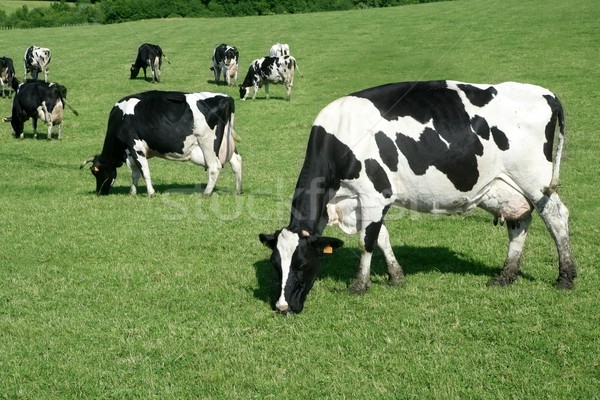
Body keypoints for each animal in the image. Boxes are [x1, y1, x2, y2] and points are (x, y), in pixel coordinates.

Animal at [81, 90, 243, 197]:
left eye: (96, 172)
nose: (100, 192)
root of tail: (225, 98)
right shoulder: (131, 152)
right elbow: (135, 172)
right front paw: (132, 192)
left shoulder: (135, 146)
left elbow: (144, 171)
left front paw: (151, 193)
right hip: (226, 143)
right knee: (236, 161)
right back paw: (238, 190)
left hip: (207, 143)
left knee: (214, 167)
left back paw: (206, 193)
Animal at [258, 79, 576, 314]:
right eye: (275, 265)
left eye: (301, 264)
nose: (282, 307)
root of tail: (546, 93)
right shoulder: (366, 202)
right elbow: (382, 238)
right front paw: (396, 276)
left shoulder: (373, 195)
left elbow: (366, 242)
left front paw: (359, 285)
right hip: (508, 187)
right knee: (519, 222)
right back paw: (506, 275)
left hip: (535, 180)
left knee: (556, 217)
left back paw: (566, 276)